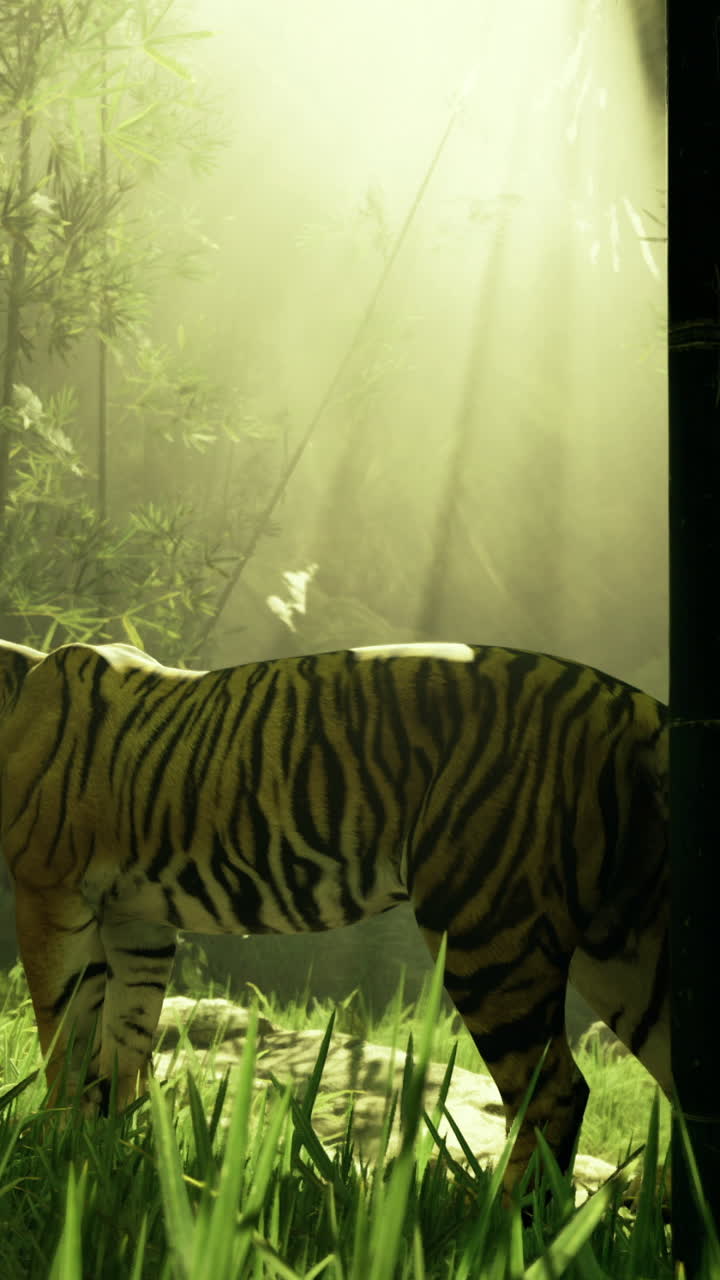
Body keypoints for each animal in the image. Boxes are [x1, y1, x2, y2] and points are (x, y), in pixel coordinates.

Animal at [0, 637, 670, 1199]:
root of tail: (631, 703)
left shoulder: (49, 891)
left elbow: (66, 1037)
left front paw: (52, 1155)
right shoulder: (136, 921)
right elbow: (121, 1047)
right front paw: (103, 1160)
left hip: (487, 925)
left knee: (555, 1093)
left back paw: (497, 1228)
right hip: (627, 956)